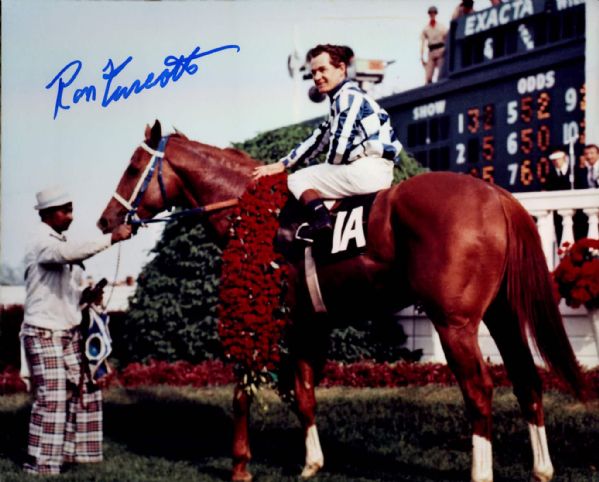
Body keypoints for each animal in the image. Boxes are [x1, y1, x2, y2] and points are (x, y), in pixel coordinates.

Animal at [99, 122, 584, 482]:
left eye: (133, 167)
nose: (108, 220)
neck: (252, 210)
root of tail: (496, 195)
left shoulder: (258, 316)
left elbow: (242, 391)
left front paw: (240, 465)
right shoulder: (307, 323)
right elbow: (304, 394)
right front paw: (312, 463)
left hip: (455, 321)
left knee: (480, 390)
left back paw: (481, 473)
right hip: (503, 314)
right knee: (527, 379)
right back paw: (542, 469)